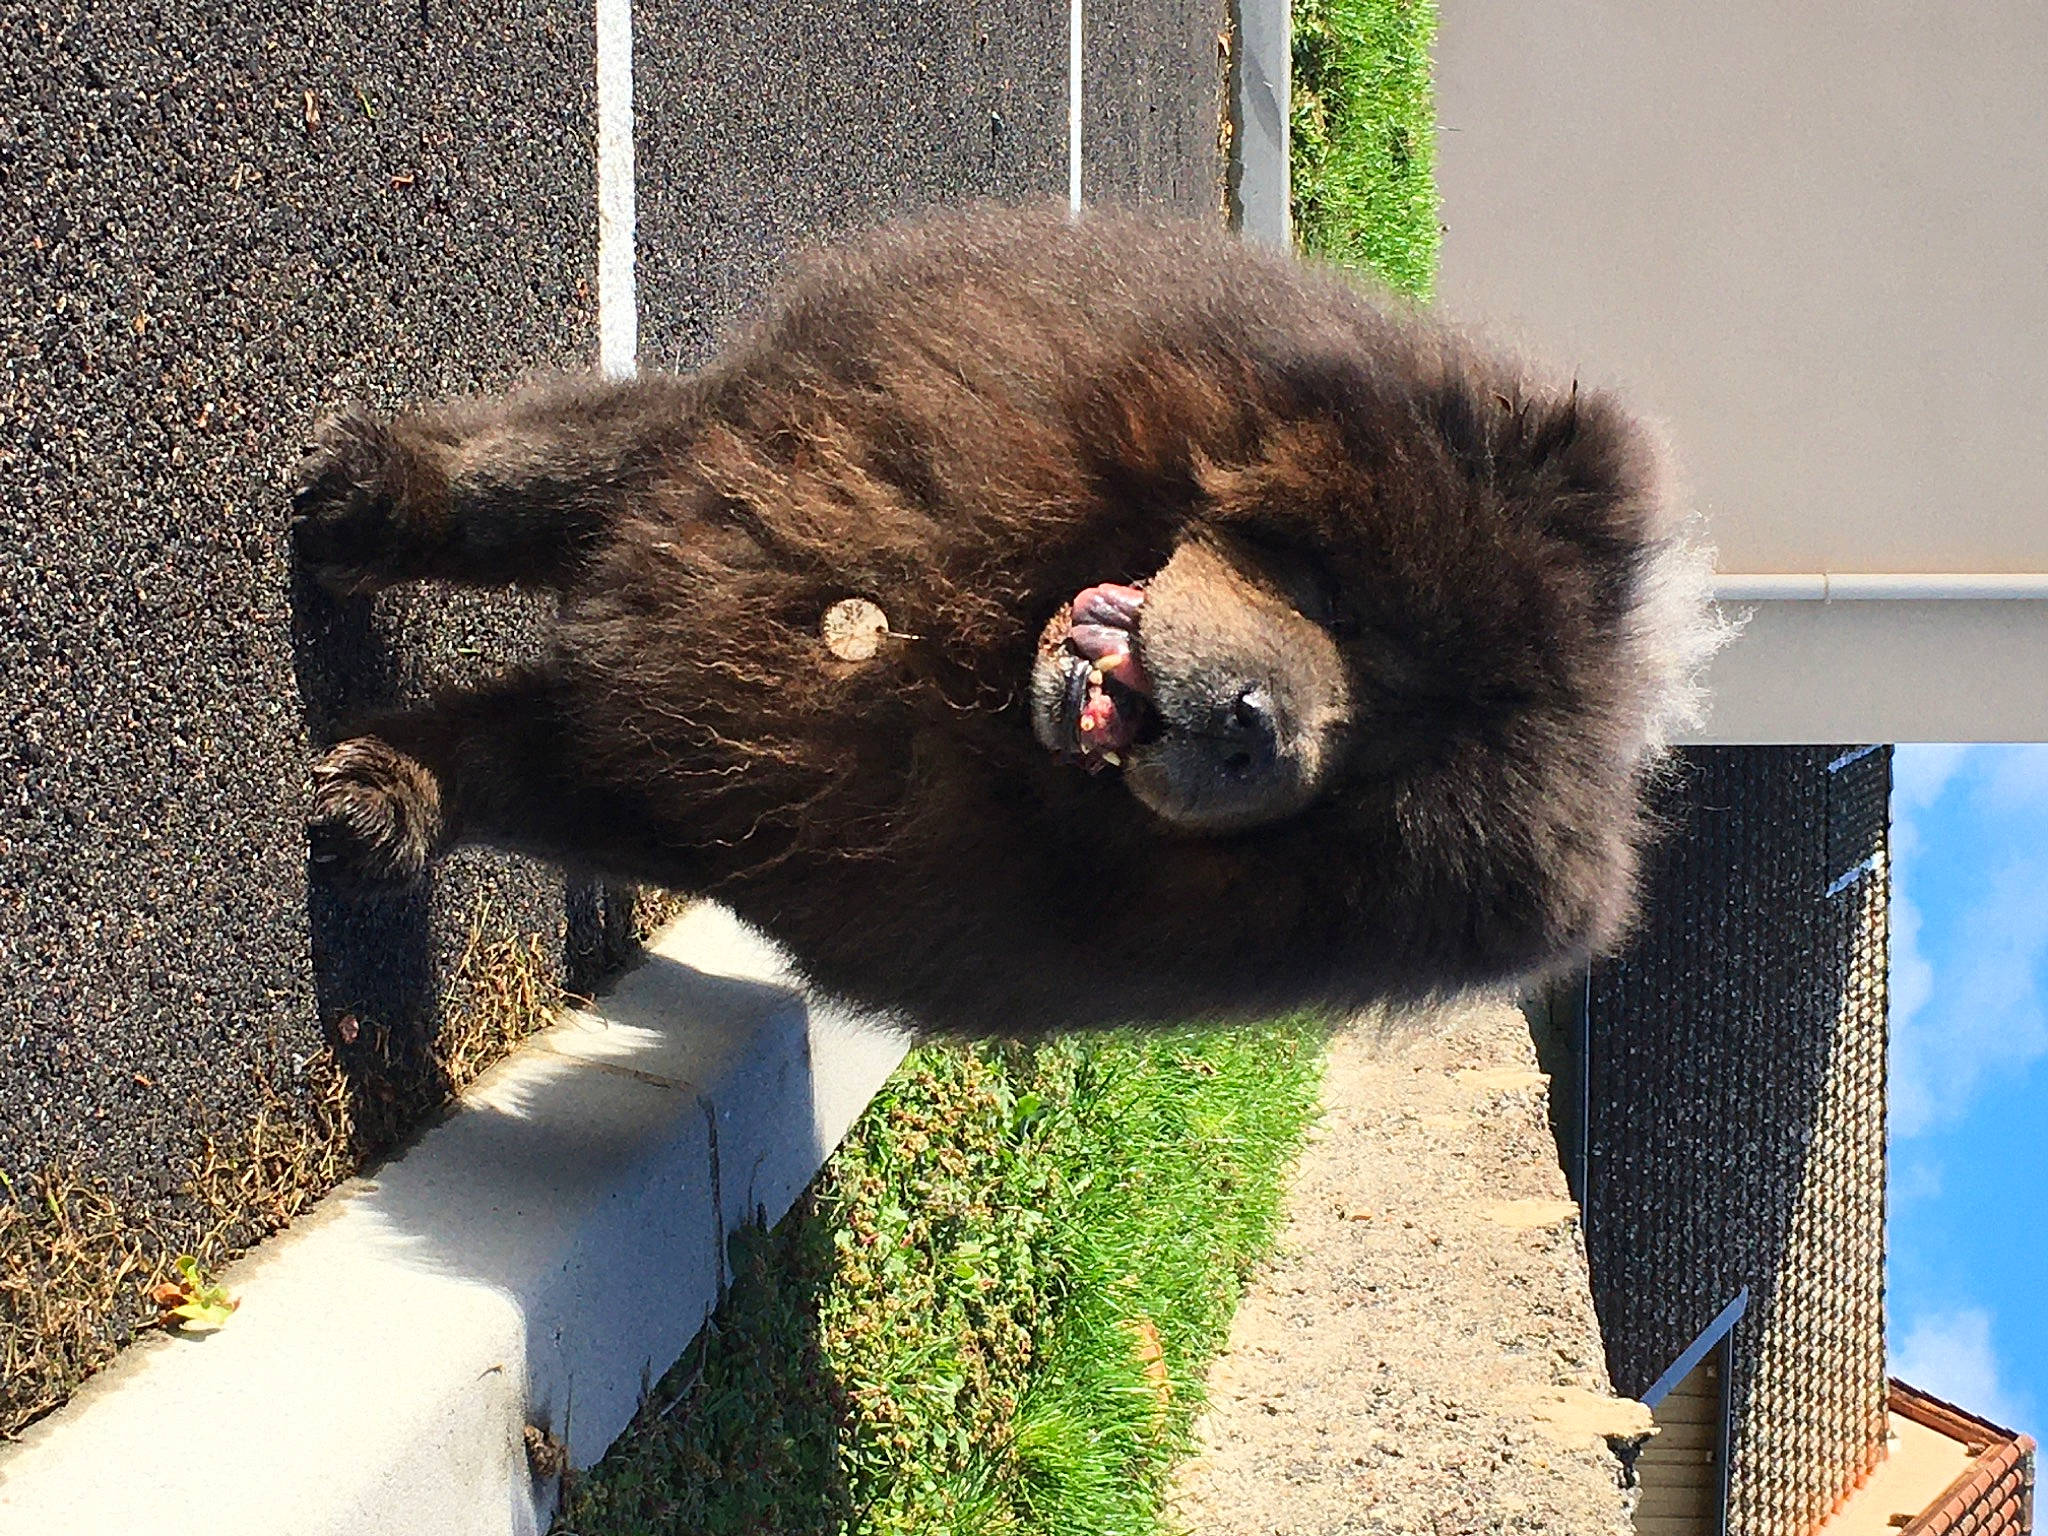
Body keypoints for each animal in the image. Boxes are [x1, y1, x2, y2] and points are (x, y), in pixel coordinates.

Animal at [291, 204, 1719, 1038]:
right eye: (1366, 628)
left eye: (1372, 787)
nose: (1258, 732)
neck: (943, 646)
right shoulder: (744, 477)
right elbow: (524, 487)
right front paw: (364, 504)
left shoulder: (724, 799)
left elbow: (519, 766)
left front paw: (390, 799)